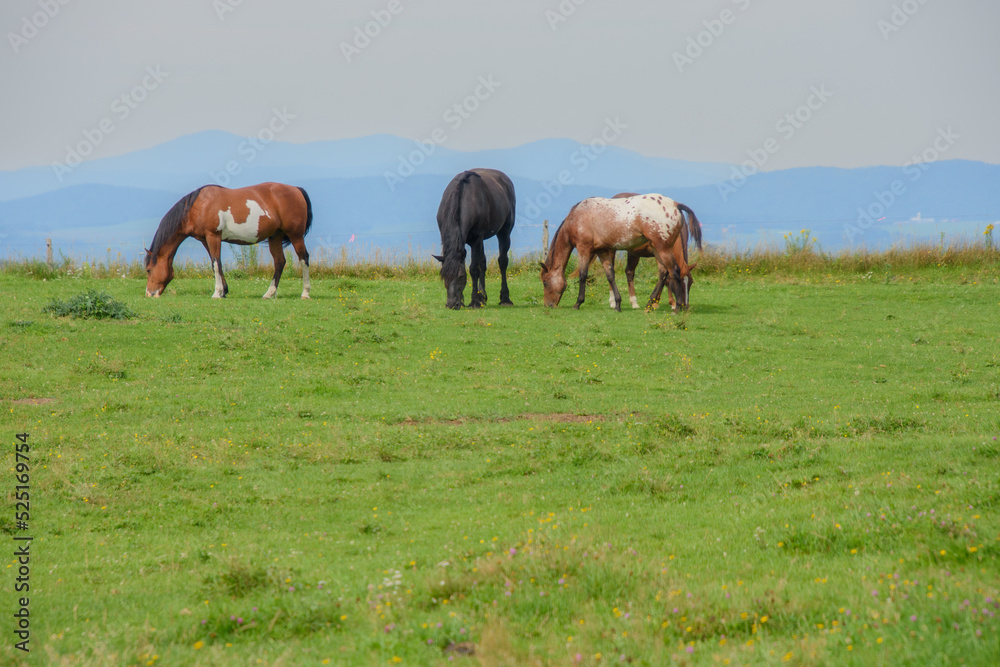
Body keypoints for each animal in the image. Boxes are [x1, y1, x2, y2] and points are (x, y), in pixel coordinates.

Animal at [145, 181, 312, 298]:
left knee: (304, 258)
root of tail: (296, 189)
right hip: (275, 236)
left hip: (296, 235)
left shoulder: (213, 236)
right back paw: (269, 293)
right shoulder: (205, 239)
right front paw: (224, 291)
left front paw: (217, 293)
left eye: (148, 270)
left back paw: (305, 293)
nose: (149, 293)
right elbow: (216, 264)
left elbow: (216, 263)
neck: (199, 206)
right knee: (279, 262)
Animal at [432, 170, 516, 310]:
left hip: (504, 231)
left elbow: (473, 269)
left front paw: (474, 302)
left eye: (461, 276)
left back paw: (505, 298)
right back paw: (482, 296)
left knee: (503, 261)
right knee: (483, 262)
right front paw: (464, 301)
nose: (451, 304)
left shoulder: (476, 239)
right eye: (443, 276)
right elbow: (477, 265)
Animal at [540, 190, 696, 310]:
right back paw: (650, 304)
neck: (577, 216)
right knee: (664, 273)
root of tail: (675, 204)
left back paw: (674, 306)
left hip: (662, 248)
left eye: (545, 282)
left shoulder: (583, 248)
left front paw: (578, 303)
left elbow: (583, 275)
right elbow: (610, 275)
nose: (548, 305)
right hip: (656, 249)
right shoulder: (602, 250)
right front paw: (618, 304)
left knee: (673, 271)